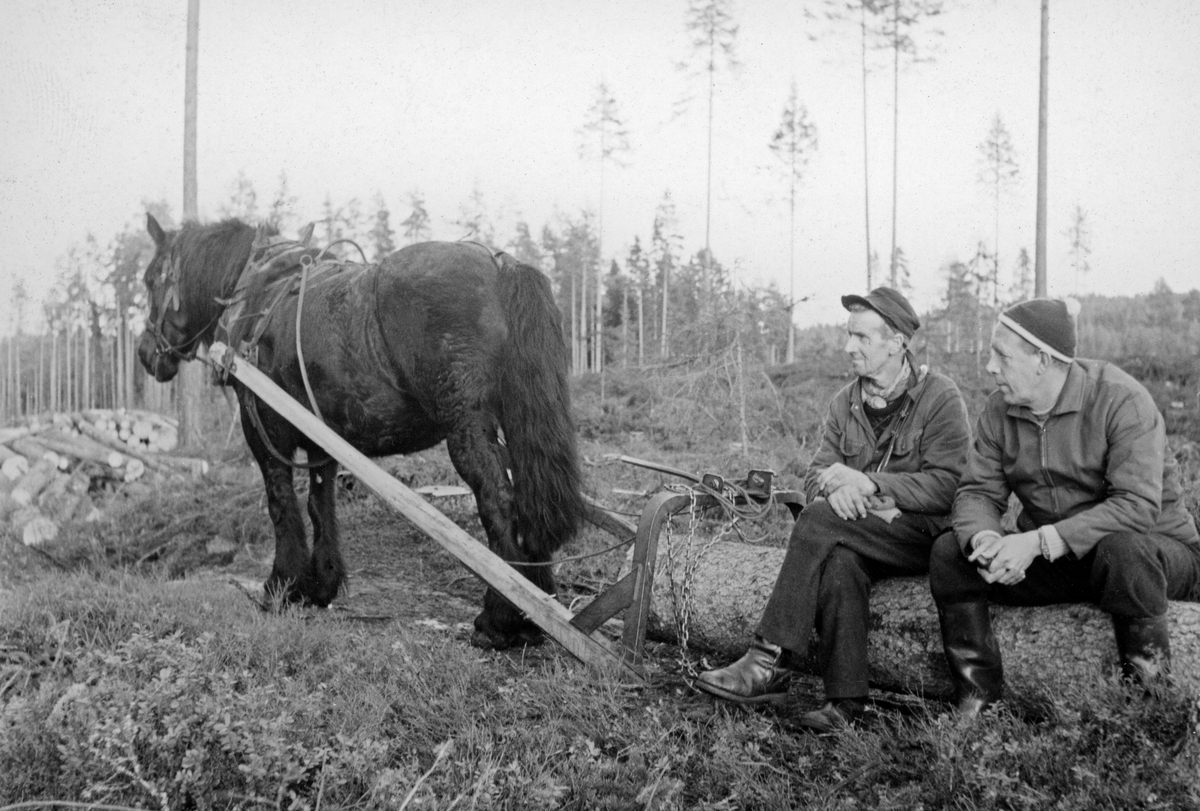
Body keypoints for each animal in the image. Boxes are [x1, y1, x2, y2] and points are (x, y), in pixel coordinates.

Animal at [138, 212, 583, 647]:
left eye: (151, 279)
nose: (145, 353)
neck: (256, 291)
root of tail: (499, 265)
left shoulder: (263, 427)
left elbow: (280, 503)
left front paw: (282, 585)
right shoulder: (321, 437)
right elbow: (320, 504)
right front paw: (321, 584)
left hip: (467, 424)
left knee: (498, 500)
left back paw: (501, 618)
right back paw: (536, 605)